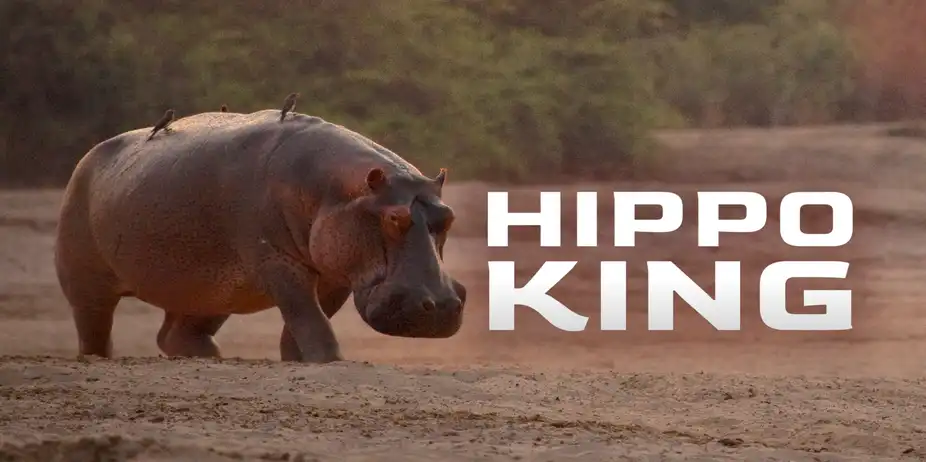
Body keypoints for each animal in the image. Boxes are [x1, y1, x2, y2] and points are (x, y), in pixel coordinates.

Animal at [54, 109, 466, 363]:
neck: (338, 189)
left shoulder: (335, 273)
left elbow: (307, 320)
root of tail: (89, 155)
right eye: (394, 218)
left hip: (211, 289)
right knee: (94, 326)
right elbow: (305, 313)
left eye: (448, 217)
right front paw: (329, 358)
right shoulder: (277, 262)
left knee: (176, 333)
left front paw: (301, 360)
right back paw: (99, 357)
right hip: (86, 280)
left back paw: (211, 357)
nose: (440, 306)